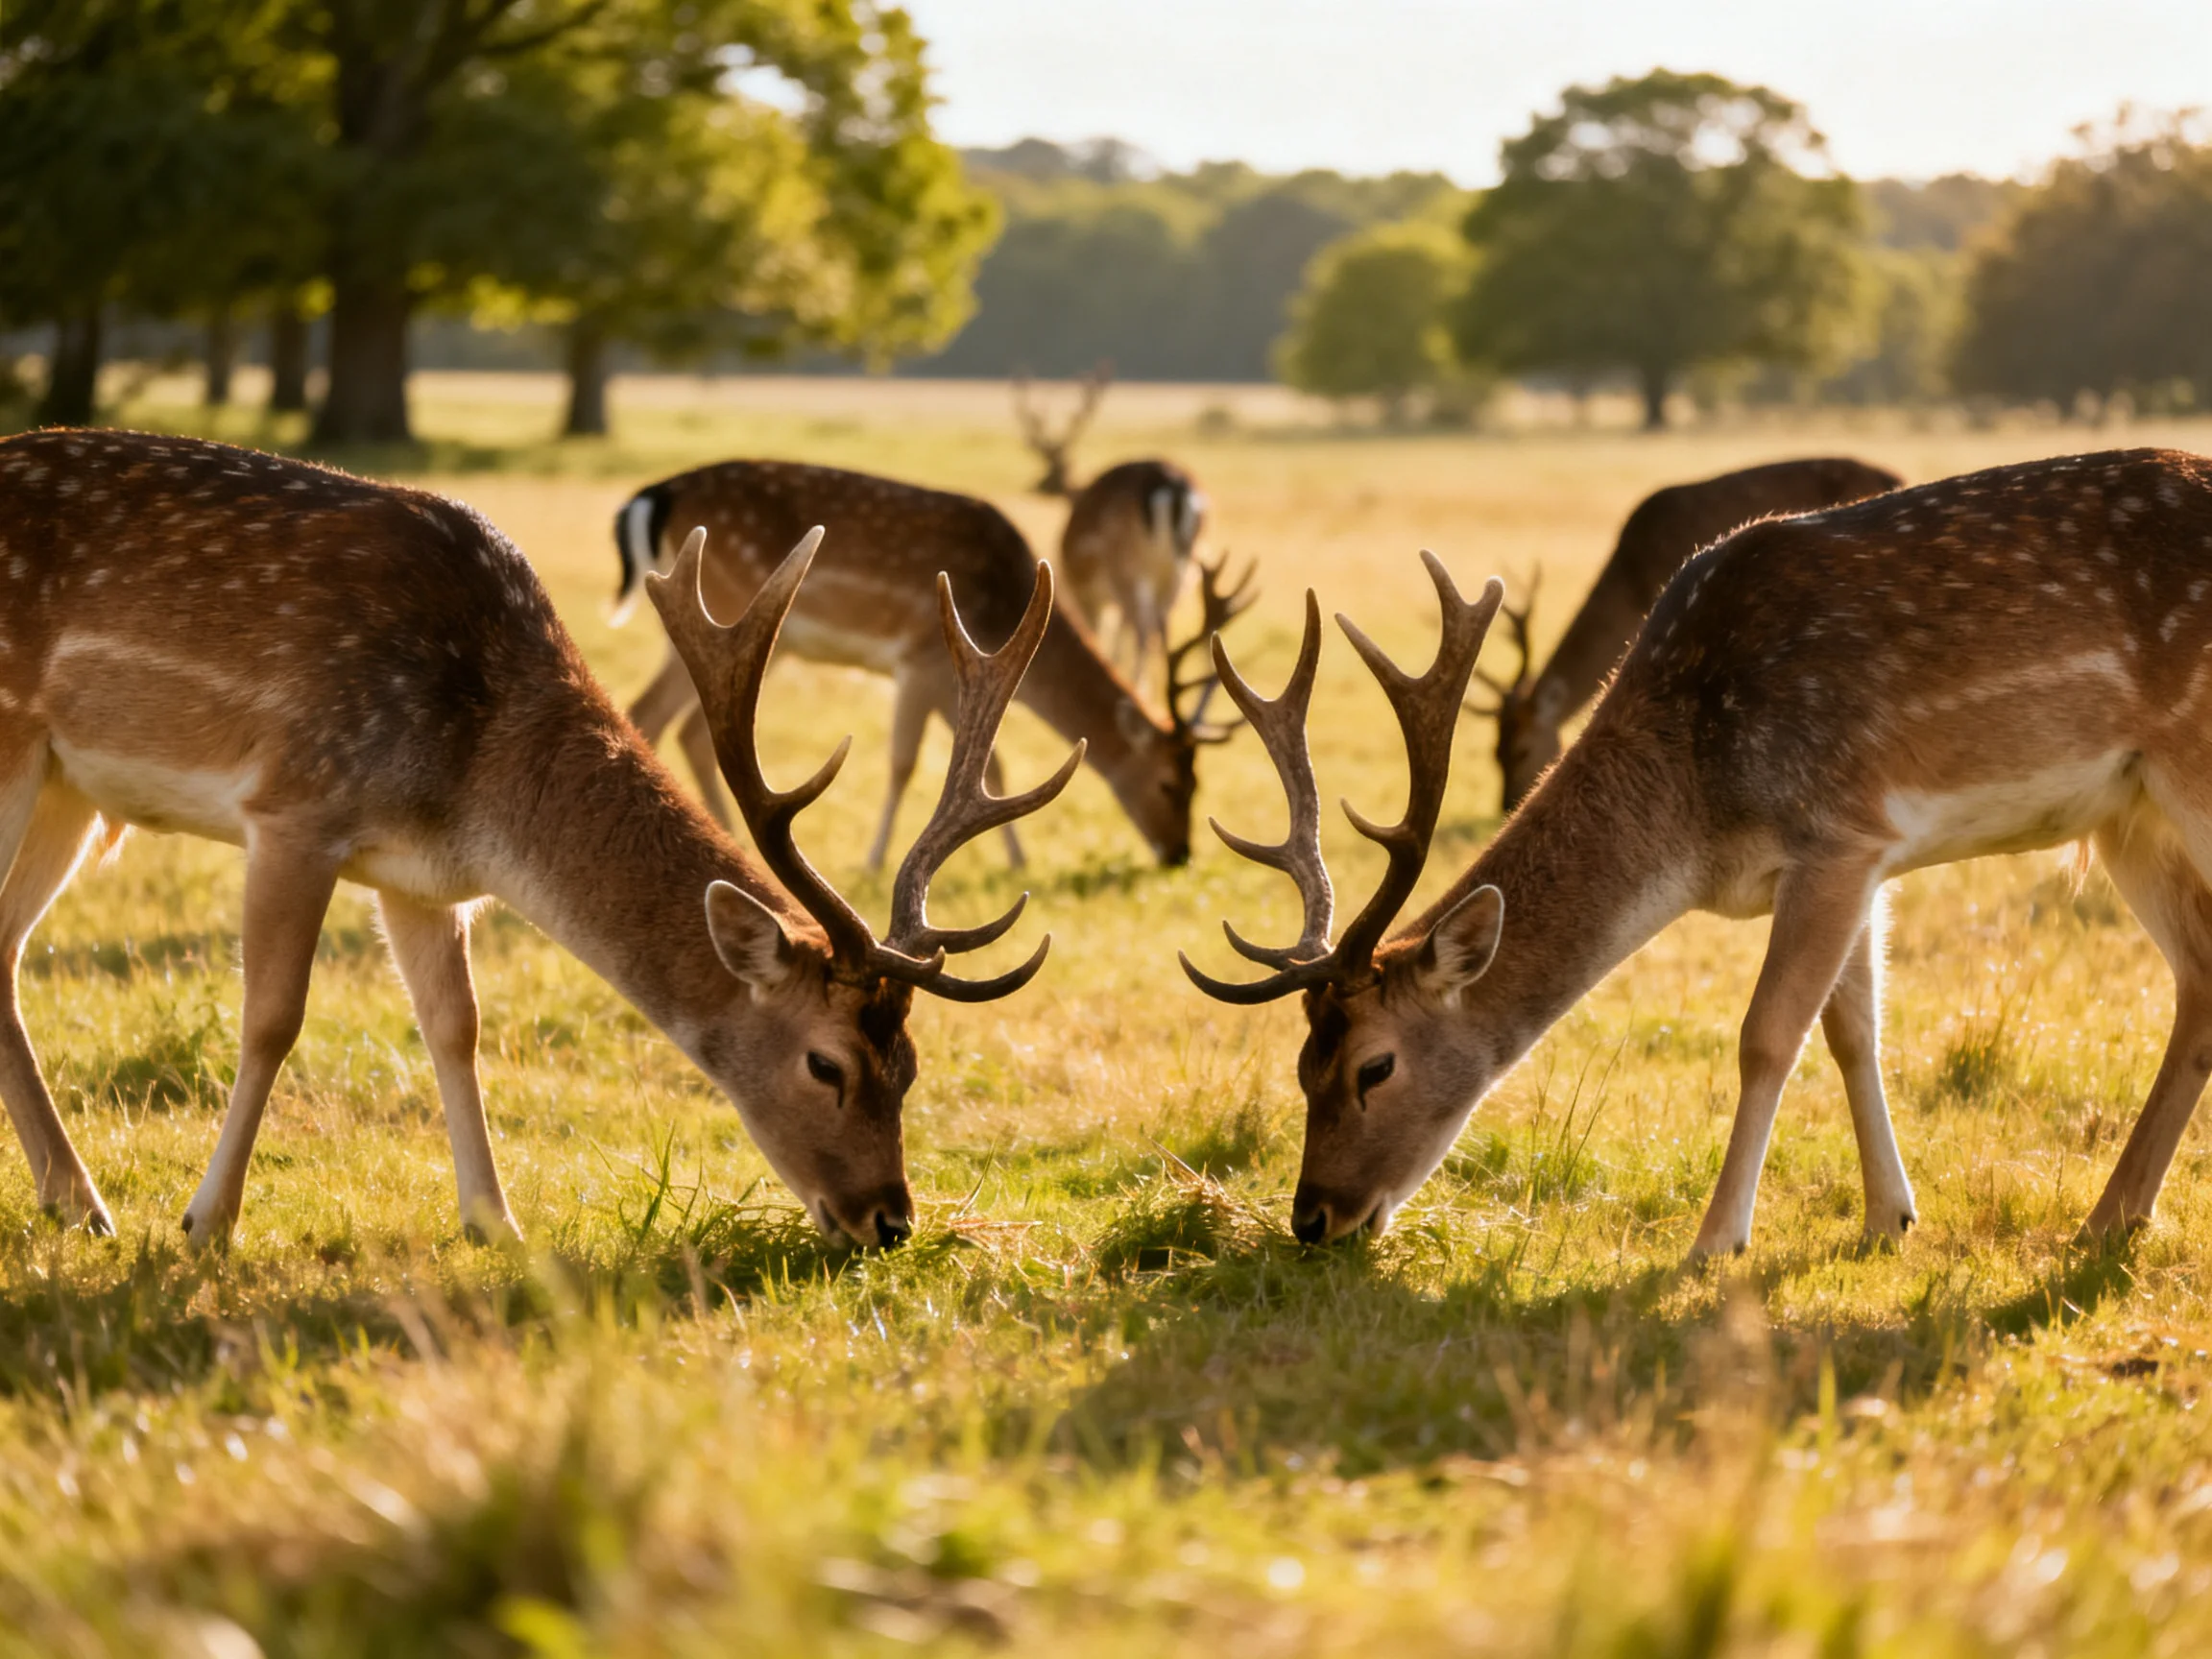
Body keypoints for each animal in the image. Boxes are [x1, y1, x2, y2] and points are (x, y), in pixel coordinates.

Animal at [0, 429, 1076, 1250]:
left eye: (913, 1068)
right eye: (828, 1065)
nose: (890, 1221)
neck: (475, 783)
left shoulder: (418, 878)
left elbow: (456, 1027)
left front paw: (496, 1224)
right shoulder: (296, 806)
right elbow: (272, 1018)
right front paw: (207, 1222)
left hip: (68, 788)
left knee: (7, 947)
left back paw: (76, 1202)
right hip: (18, 744)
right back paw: (92, 1201)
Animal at [613, 460, 1250, 870]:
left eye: (1199, 781)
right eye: (1172, 782)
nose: (1180, 855)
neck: (1001, 604)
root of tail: (654, 495)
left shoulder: (956, 676)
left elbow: (993, 767)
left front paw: (1018, 861)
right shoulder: (919, 658)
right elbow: (903, 763)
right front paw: (874, 861)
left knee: (681, 726)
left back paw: (731, 842)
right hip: (726, 602)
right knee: (655, 712)